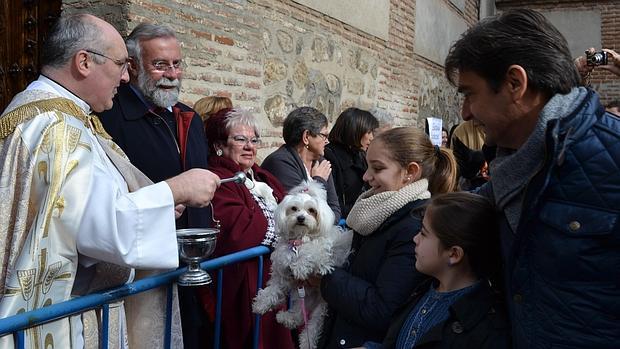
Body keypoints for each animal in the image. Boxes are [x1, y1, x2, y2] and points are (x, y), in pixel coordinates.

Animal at [251, 179, 348, 348]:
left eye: (312, 210)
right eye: (294, 208)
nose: (301, 218)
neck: (299, 241)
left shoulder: (325, 255)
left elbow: (312, 252)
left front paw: (300, 266)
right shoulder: (282, 273)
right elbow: (272, 290)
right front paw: (261, 303)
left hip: (323, 307)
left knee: (313, 325)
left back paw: (306, 342)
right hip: (305, 297)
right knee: (299, 314)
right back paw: (286, 318)